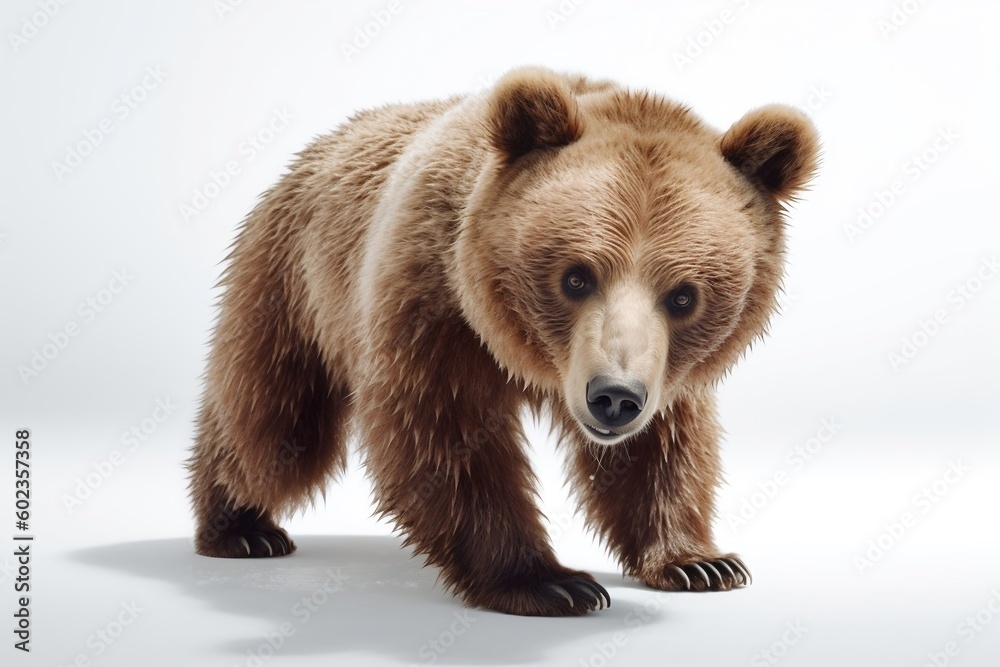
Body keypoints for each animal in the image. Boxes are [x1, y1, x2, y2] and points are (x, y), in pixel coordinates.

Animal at [187, 66, 819, 616]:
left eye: (684, 296)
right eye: (576, 276)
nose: (613, 397)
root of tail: (314, 148)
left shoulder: (662, 370)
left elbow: (660, 448)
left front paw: (701, 562)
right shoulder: (434, 306)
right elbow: (444, 438)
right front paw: (550, 582)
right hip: (296, 282)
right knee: (274, 427)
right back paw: (241, 527)